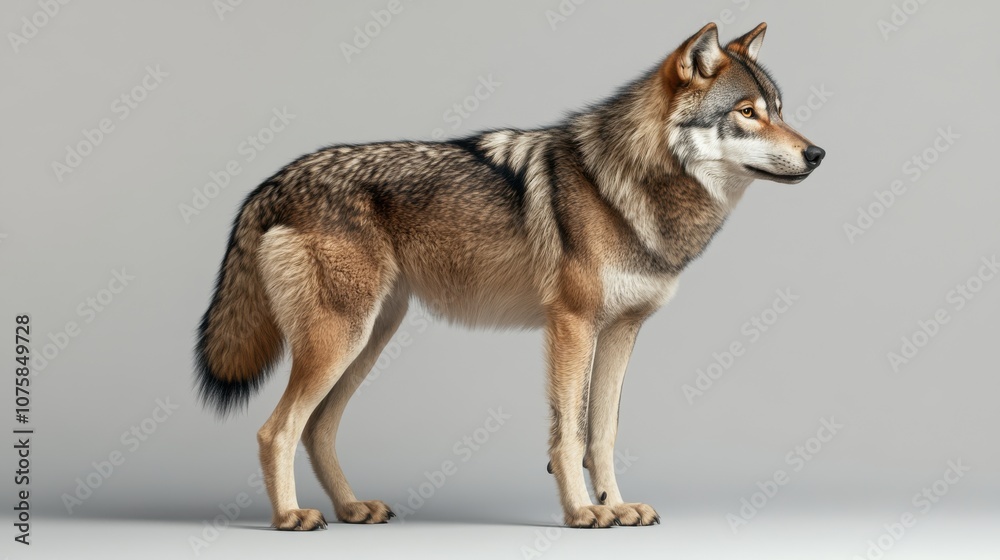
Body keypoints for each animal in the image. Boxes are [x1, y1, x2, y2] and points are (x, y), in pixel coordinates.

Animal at [195, 22, 824, 530]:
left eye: (779, 107)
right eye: (747, 112)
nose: (817, 154)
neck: (628, 187)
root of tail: (273, 181)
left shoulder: (621, 332)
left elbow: (604, 434)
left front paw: (617, 505)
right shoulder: (571, 326)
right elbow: (569, 436)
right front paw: (582, 513)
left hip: (368, 339)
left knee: (317, 428)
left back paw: (352, 508)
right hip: (341, 340)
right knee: (276, 430)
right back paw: (290, 517)